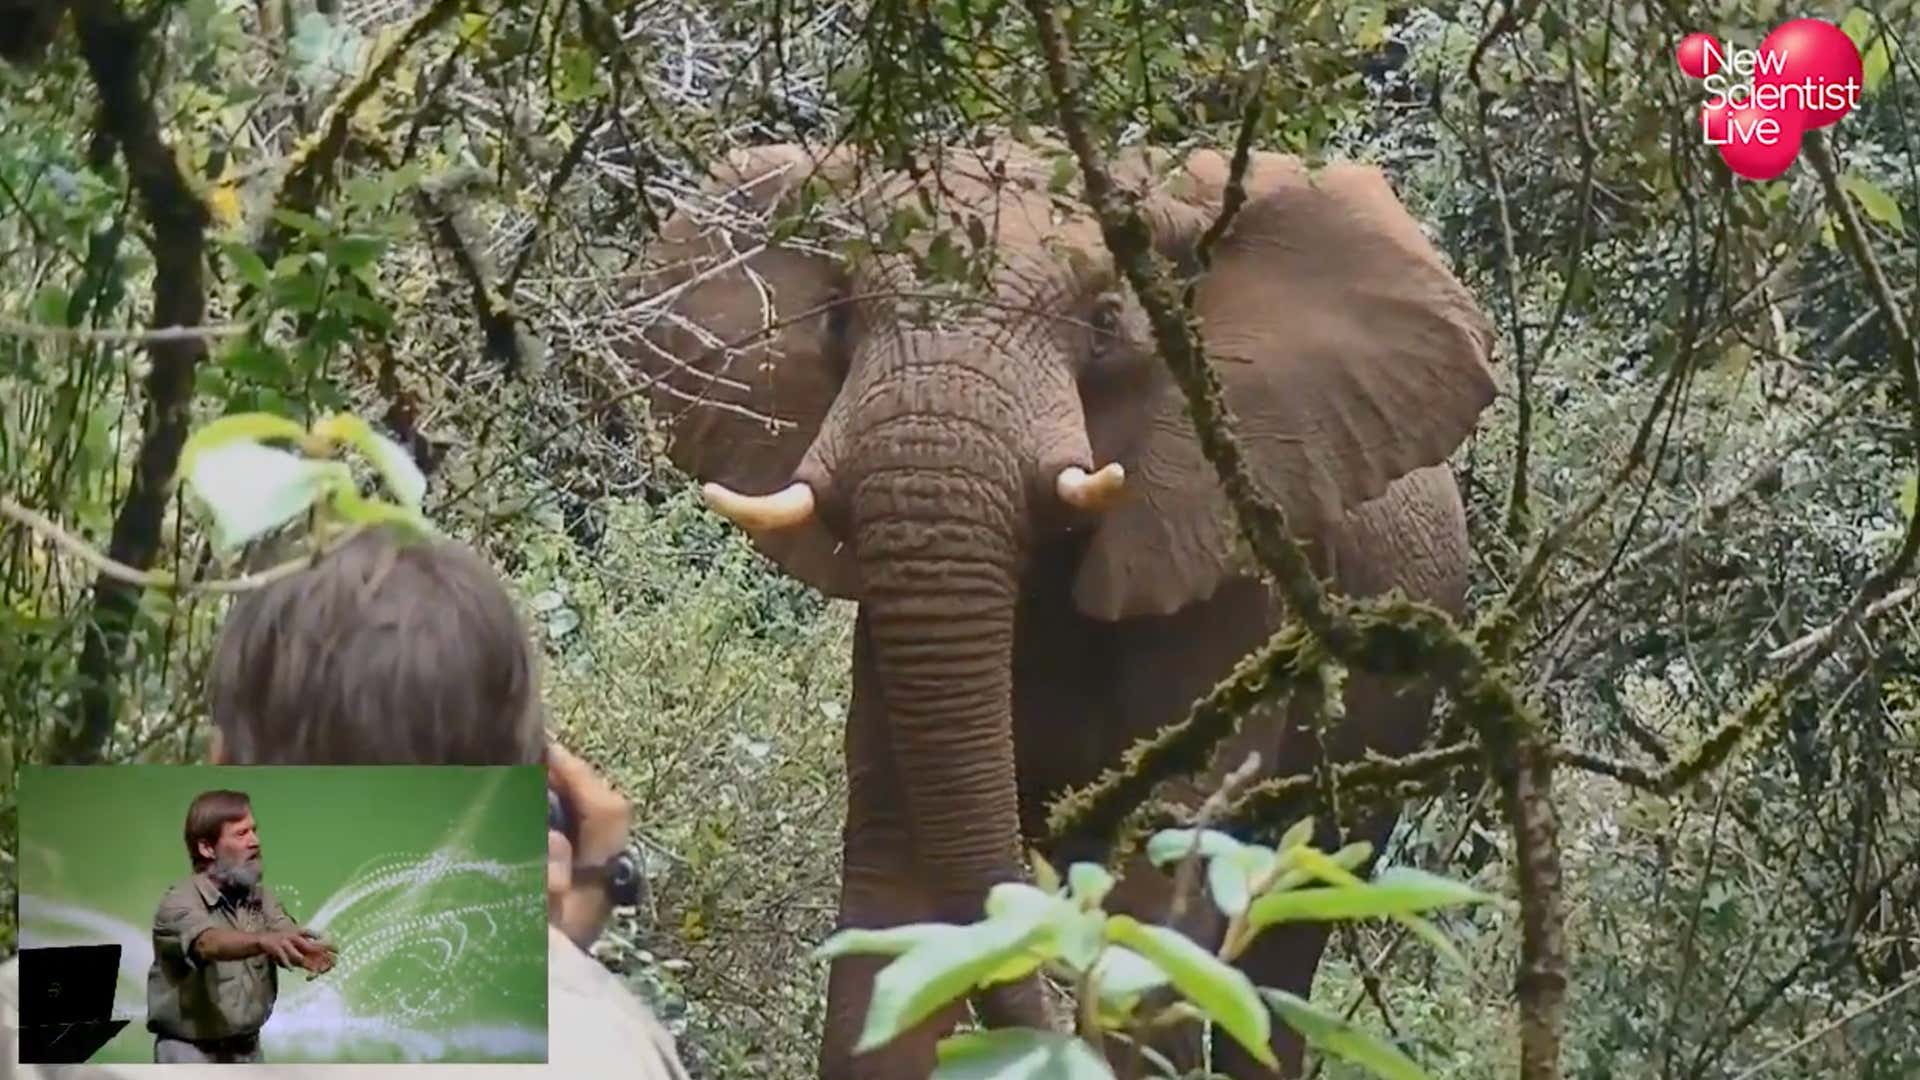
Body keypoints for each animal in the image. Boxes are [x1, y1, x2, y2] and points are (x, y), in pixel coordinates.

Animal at [622, 136, 1496, 1077]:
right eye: (840, 323)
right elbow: (896, 883)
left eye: (1108, 321)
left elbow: (1161, 880)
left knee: (1287, 942)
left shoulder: (1228, 577)